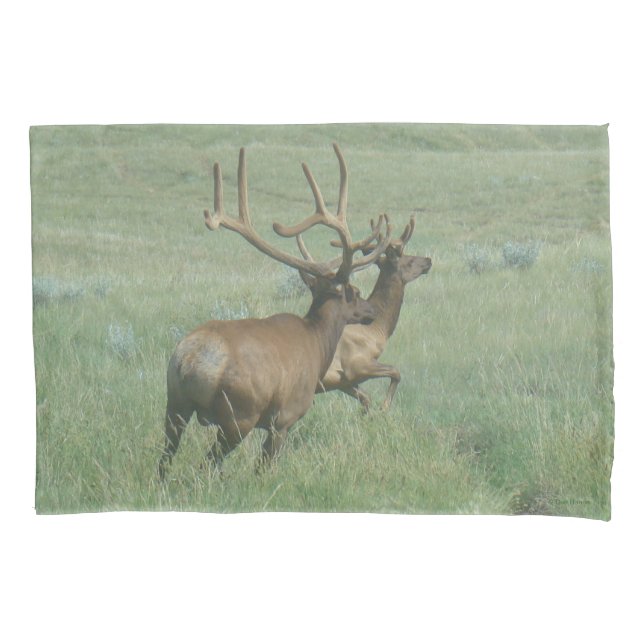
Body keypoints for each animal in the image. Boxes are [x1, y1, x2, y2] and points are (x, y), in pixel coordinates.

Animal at [158, 144, 393, 479]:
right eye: (354, 292)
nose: (371, 310)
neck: (318, 343)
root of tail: (189, 361)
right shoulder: (285, 417)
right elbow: (264, 468)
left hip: (174, 404)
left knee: (164, 462)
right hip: (238, 414)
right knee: (205, 465)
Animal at [298, 215, 432, 412]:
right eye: (407, 260)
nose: (428, 260)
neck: (378, 329)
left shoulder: (343, 381)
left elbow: (366, 398)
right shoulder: (356, 364)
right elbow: (396, 372)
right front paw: (384, 407)